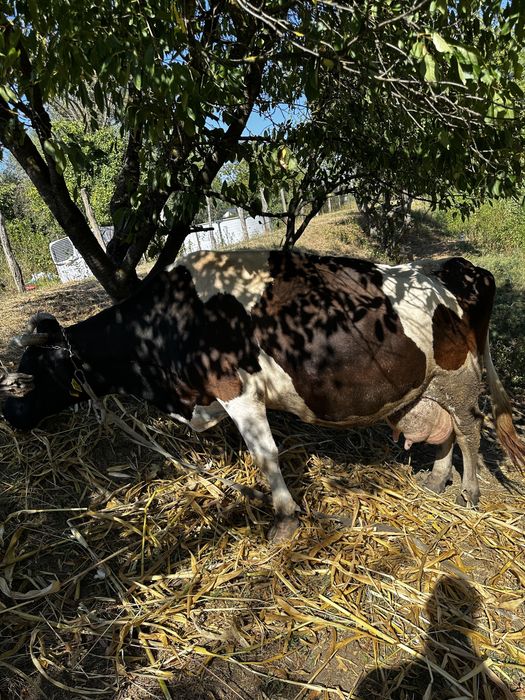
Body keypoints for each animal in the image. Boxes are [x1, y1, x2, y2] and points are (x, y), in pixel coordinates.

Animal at [3, 250, 524, 540]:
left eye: (29, 374)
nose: (11, 415)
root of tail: (457, 266)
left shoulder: (238, 391)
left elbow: (266, 454)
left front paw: (284, 519)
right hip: (427, 385)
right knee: (445, 430)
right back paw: (436, 480)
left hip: (457, 375)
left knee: (469, 429)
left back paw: (469, 491)